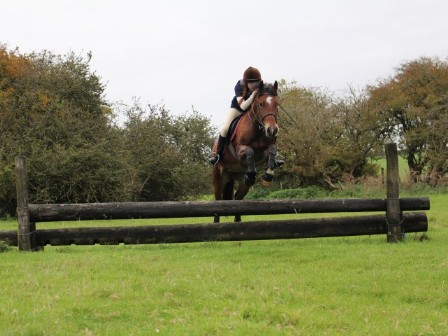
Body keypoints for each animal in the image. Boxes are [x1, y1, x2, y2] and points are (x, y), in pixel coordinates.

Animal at [212, 80, 278, 223]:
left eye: (277, 104)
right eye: (260, 104)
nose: (272, 130)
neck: (258, 128)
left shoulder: (265, 151)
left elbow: (272, 150)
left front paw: (268, 176)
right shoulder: (240, 150)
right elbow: (249, 151)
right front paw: (252, 175)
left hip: (241, 183)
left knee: (238, 199)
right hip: (218, 177)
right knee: (218, 200)